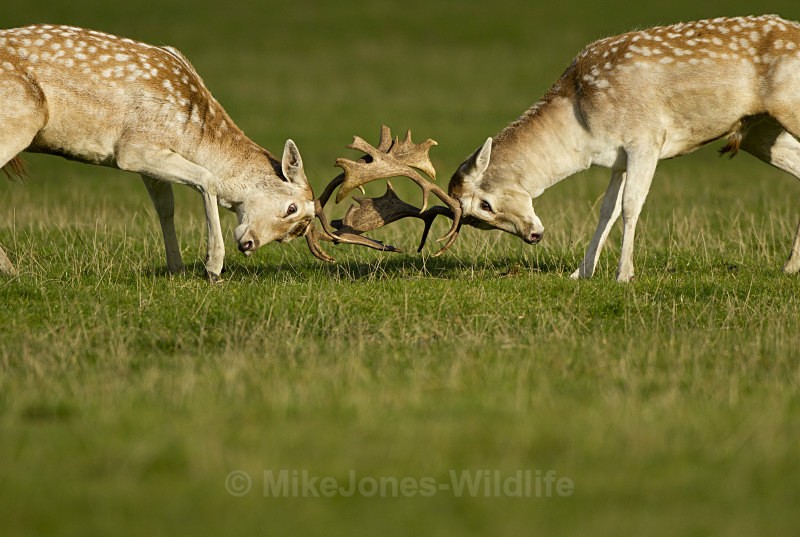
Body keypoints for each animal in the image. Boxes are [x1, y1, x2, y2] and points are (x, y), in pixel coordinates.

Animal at [0, 24, 325, 281]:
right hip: (19, 123)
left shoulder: (151, 160)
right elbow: (206, 178)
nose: (250, 245)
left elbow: (165, 207)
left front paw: (177, 269)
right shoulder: (133, 147)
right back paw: (12, 271)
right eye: (292, 208)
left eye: (290, 236)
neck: (189, 135)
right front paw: (213, 268)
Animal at [440, 14, 800, 282]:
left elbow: (630, 206)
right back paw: (789, 266)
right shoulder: (619, 158)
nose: (533, 236)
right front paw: (581, 273)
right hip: (759, 132)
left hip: (788, 109)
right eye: (477, 222)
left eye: (485, 205)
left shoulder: (646, 137)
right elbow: (606, 210)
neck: (583, 127)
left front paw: (624, 275)